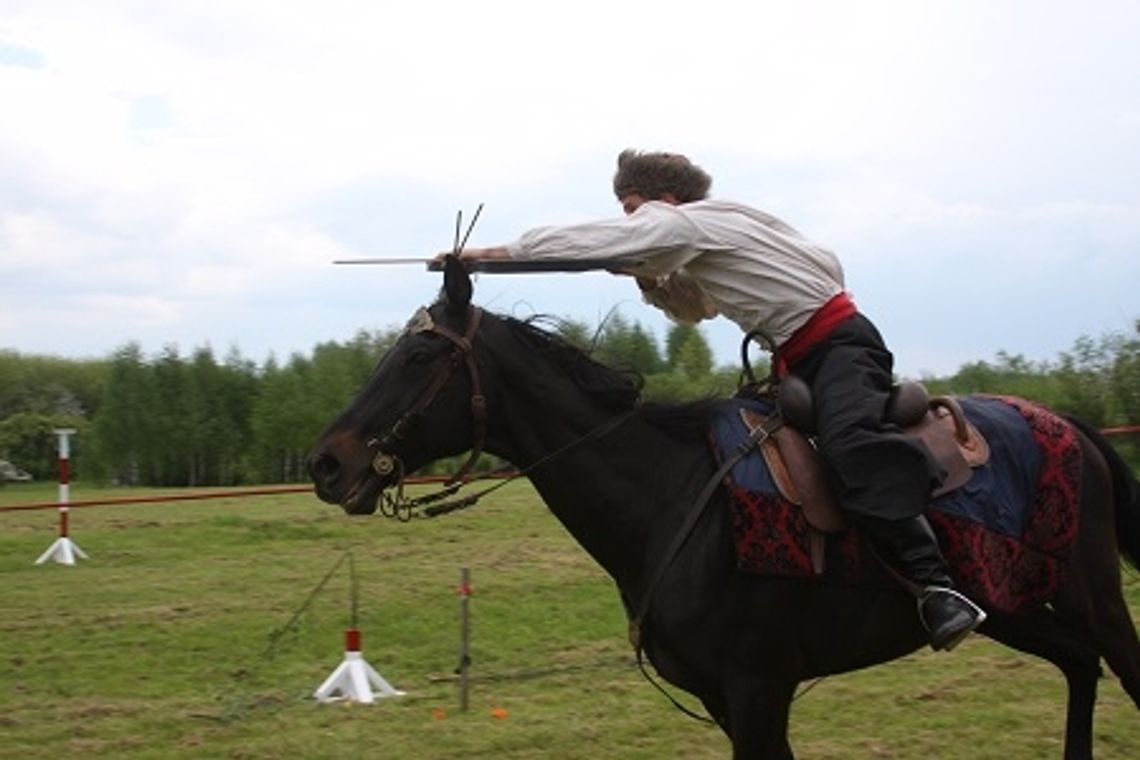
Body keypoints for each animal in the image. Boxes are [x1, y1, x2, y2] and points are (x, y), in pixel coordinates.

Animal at [307, 258, 1135, 756]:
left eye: (418, 357)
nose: (327, 462)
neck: (672, 498)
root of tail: (1071, 427)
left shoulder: (759, 691)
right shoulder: (724, 700)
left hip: (1090, 593)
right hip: (1015, 607)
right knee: (1079, 666)